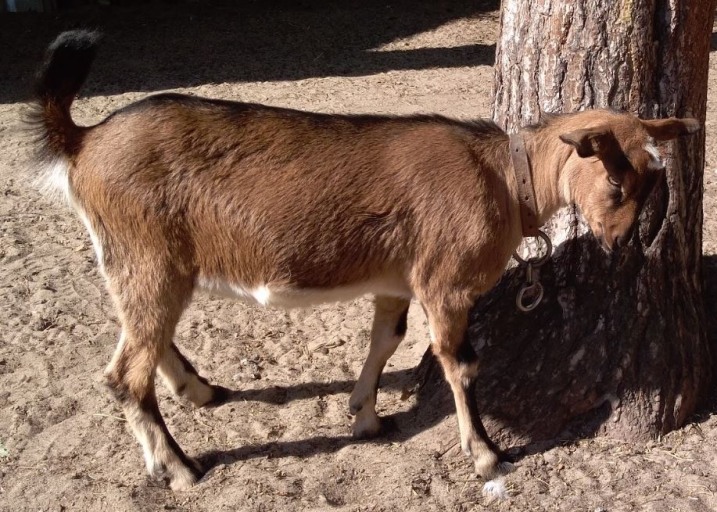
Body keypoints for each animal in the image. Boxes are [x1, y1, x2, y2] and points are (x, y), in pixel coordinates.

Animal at [30, 31, 696, 492]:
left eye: (651, 182)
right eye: (615, 182)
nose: (621, 244)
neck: (506, 179)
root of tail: (83, 141)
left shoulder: (396, 280)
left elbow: (386, 339)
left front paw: (365, 418)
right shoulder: (445, 284)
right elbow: (461, 363)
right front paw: (485, 454)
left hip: (150, 263)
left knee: (142, 337)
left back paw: (199, 391)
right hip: (147, 256)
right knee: (124, 372)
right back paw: (180, 468)